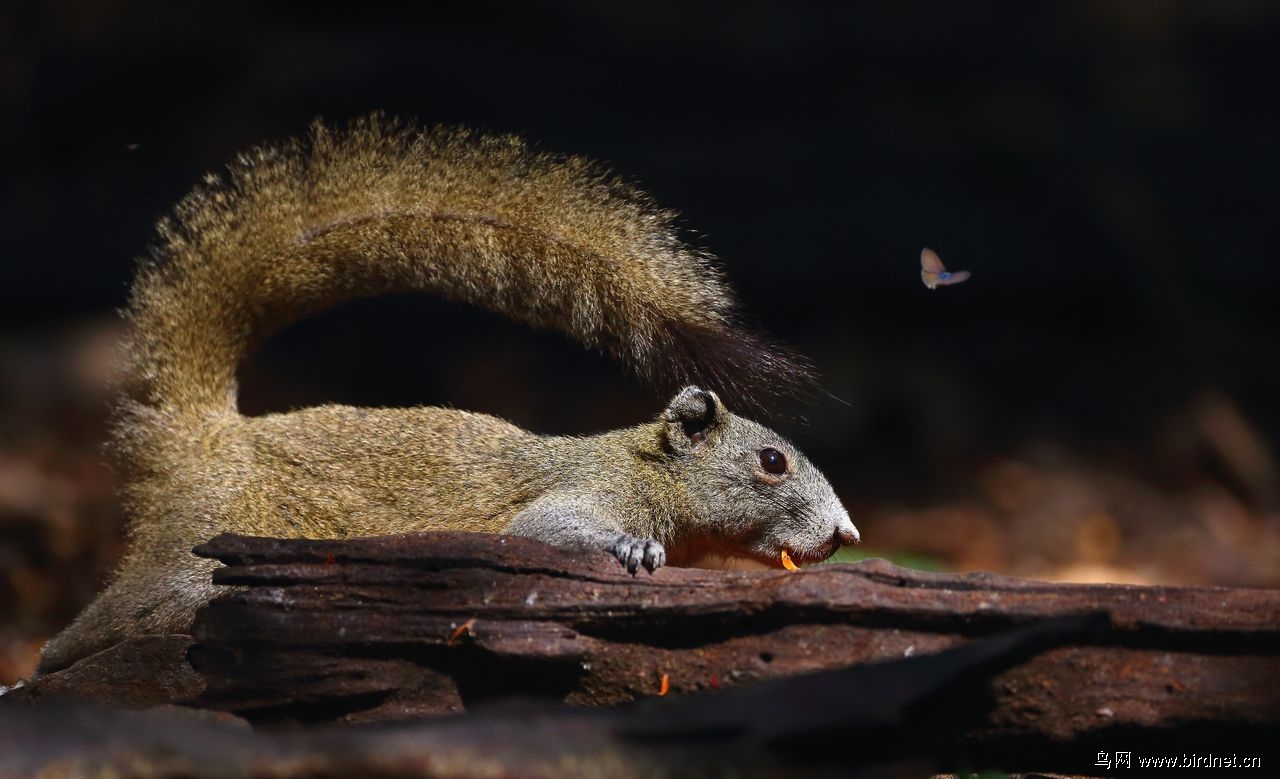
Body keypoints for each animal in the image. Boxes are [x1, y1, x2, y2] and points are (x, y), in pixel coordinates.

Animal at [40, 115, 860, 675]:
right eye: (772, 463)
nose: (847, 533)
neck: (642, 464)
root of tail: (206, 437)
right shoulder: (578, 496)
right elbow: (543, 531)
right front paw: (632, 548)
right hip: (191, 555)